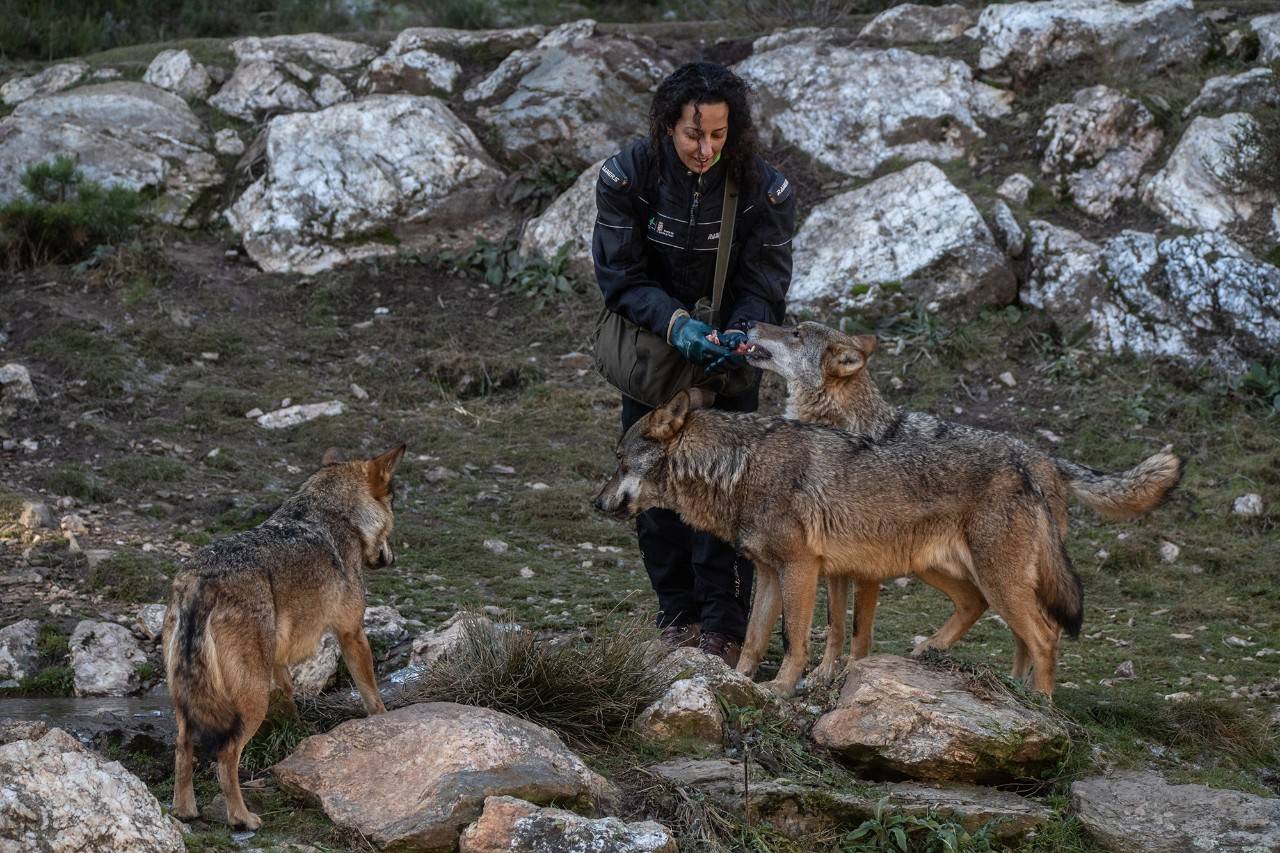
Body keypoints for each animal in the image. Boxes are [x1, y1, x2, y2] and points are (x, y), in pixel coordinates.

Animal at [162, 440, 404, 824]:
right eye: (394, 503)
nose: (391, 558)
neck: (333, 514)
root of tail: (203, 580)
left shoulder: (278, 657)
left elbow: (289, 693)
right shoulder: (352, 632)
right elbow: (371, 693)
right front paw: (384, 722)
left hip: (187, 703)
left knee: (183, 747)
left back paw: (185, 811)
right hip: (251, 701)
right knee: (225, 757)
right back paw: (242, 818)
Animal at [593, 389, 1085, 696]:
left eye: (619, 460)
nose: (596, 502)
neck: (738, 467)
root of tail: (1031, 473)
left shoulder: (801, 568)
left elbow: (796, 639)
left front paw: (781, 687)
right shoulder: (769, 573)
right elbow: (754, 639)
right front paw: (737, 680)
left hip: (995, 581)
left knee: (1046, 635)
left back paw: (1038, 701)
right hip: (951, 573)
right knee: (986, 612)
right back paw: (971, 668)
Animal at [747, 318, 1182, 686]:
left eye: (795, 333)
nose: (751, 324)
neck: (843, 426)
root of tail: (1049, 460)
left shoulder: (864, 570)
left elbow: (859, 632)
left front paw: (851, 673)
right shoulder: (837, 566)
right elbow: (836, 625)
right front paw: (822, 675)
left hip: (990, 570)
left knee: (1041, 629)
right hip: (943, 565)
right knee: (993, 615)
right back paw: (1001, 679)